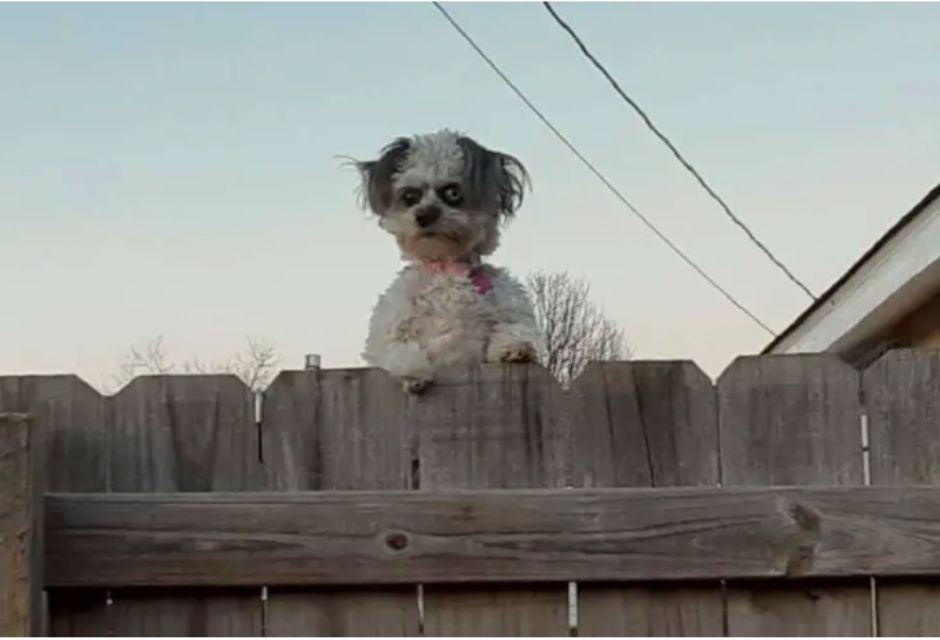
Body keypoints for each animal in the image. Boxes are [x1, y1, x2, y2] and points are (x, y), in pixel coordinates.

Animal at [352, 128, 544, 392]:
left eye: (453, 192)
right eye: (410, 196)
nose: (424, 215)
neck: (447, 267)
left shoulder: (509, 305)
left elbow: (515, 327)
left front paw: (516, 347)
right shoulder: (388, 328)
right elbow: (398, 346)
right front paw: (414, 371)